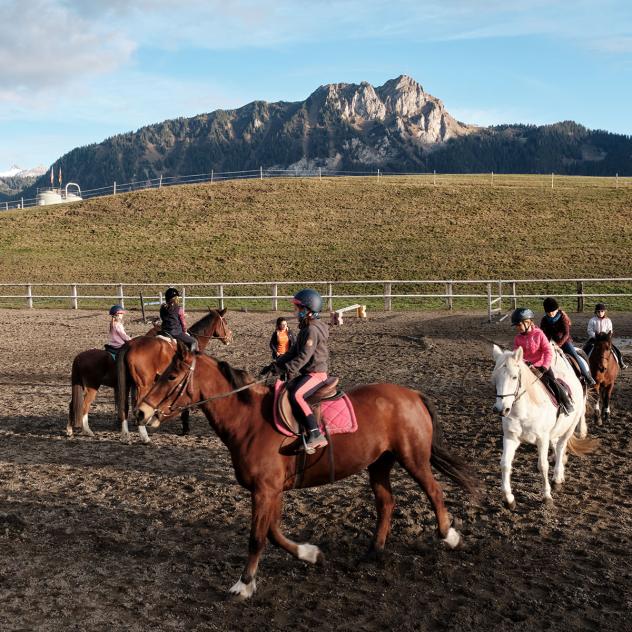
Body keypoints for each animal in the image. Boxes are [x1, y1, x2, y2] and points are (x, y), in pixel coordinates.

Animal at [116, 308, 232, 442]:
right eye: (225, 322)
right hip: (144, 385)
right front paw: (186, 428)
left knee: (125, 406)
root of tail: (130, 344)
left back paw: (126, 434)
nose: (230, 338)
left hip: (129, 383)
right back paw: (145, 436)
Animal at [136, 346, 476, 596]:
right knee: (386, 503)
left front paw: (244, 584)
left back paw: (449, 536)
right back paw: (373, 551)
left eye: (172, 376)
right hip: (380, 463)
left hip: (413, 458)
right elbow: (273, 533)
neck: (249, 421)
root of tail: (412, 395)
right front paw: (311, 554)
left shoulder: (265, 491)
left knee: (434, 492)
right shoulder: (272, 491)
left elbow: (257, 537)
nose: (141, 412)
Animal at [494, 340, 592, 508]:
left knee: (560, 447)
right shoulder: (511, 438)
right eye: (495, 378)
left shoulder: (542, 439)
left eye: (514, 377)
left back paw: (557, 477)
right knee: (557, 447)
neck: (524, 411)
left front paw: (547, 496)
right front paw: (509, 498)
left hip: (570, 427)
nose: (501, 409)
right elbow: (505, 464)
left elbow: (543, 465)